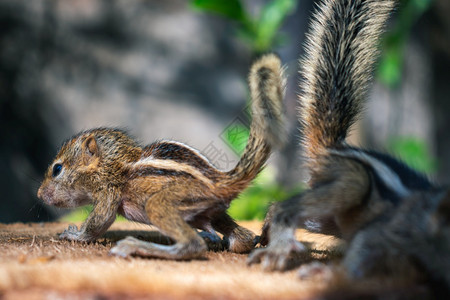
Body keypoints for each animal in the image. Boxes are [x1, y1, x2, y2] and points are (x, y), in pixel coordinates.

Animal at [37, 54, 284, 260]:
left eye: (57, 169)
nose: (39, 194)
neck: (110, 164)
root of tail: (221, 180)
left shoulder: (108, 193)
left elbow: (99, 221)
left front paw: (75, 235)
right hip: (211, 213)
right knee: (242, 239)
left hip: (163, 202)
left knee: (192, 245)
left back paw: (137, 247)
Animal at [248, 0, 450, 292]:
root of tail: (336, 148)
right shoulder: (390, 230)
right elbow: (361, 252)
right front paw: (328, 275)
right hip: (351, 181)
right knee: (286, 207)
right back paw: (278, 247)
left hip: (330, 219)